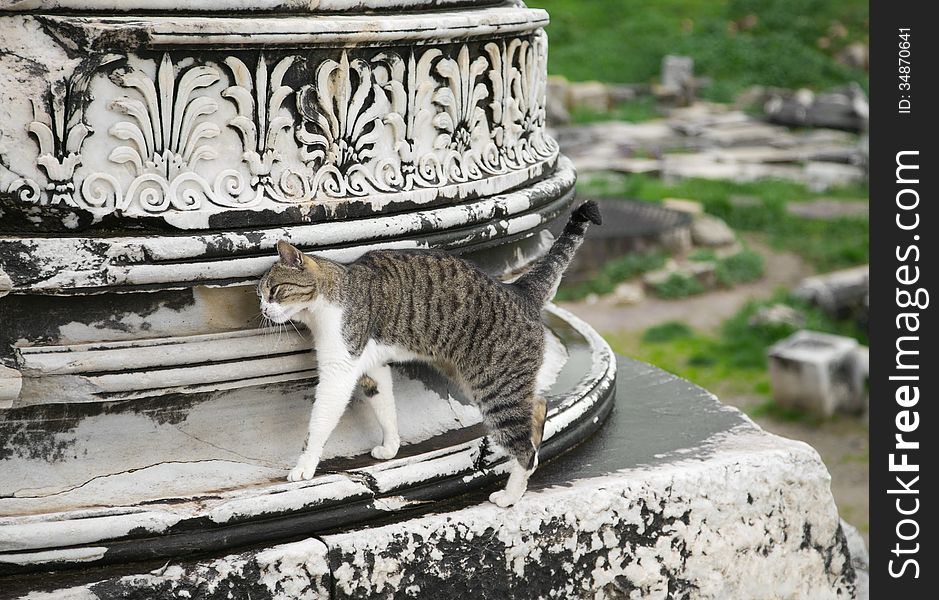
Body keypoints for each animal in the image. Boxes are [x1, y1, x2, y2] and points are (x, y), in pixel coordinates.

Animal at [260, 202, 604, 506]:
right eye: (260, 295)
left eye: (273, 291)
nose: (263, 310)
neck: (329, 298)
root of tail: (519, 290)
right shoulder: (373, 366)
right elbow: (386, 408)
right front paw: (390, 446)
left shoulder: (339, 370)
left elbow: (319, 422)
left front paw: (304, 466)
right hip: (475, 378)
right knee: (539, 405)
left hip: (493, 386)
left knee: (524, 448)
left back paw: (509, 496)